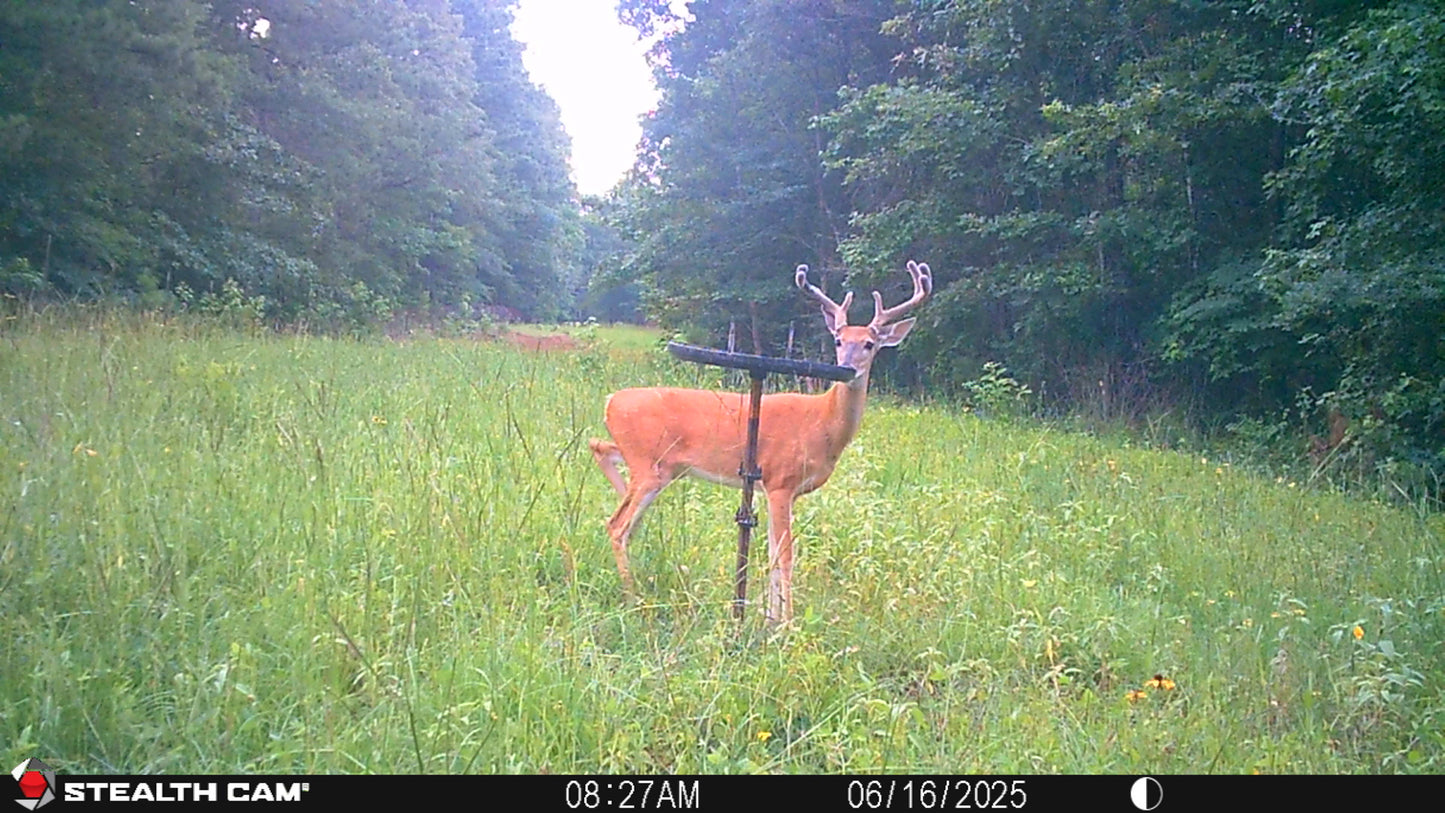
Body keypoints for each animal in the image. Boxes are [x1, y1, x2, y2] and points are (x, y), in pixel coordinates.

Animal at [587, 260, 932, 623]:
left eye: (869, 343)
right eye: (838, 340)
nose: (847, 368)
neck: (822, 424)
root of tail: (610, 402)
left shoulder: (775, 489)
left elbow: (770, 552)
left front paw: (770, 618)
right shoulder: (780, 480)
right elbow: (785, 555)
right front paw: (788, 623)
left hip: (656, 463)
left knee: (601, 452)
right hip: (649, 464)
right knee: (616, 525)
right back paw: (632, 597)